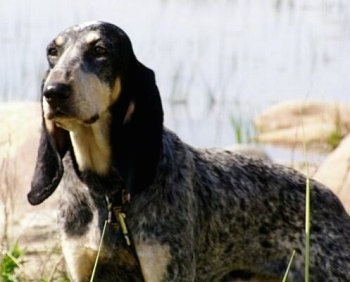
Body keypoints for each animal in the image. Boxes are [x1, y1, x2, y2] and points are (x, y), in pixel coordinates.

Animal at [27, 20, 350, 280]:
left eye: (100, 50)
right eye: (52, 52)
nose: (53, 92)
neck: (108, 193)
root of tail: (331, 200)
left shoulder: (168, 271)